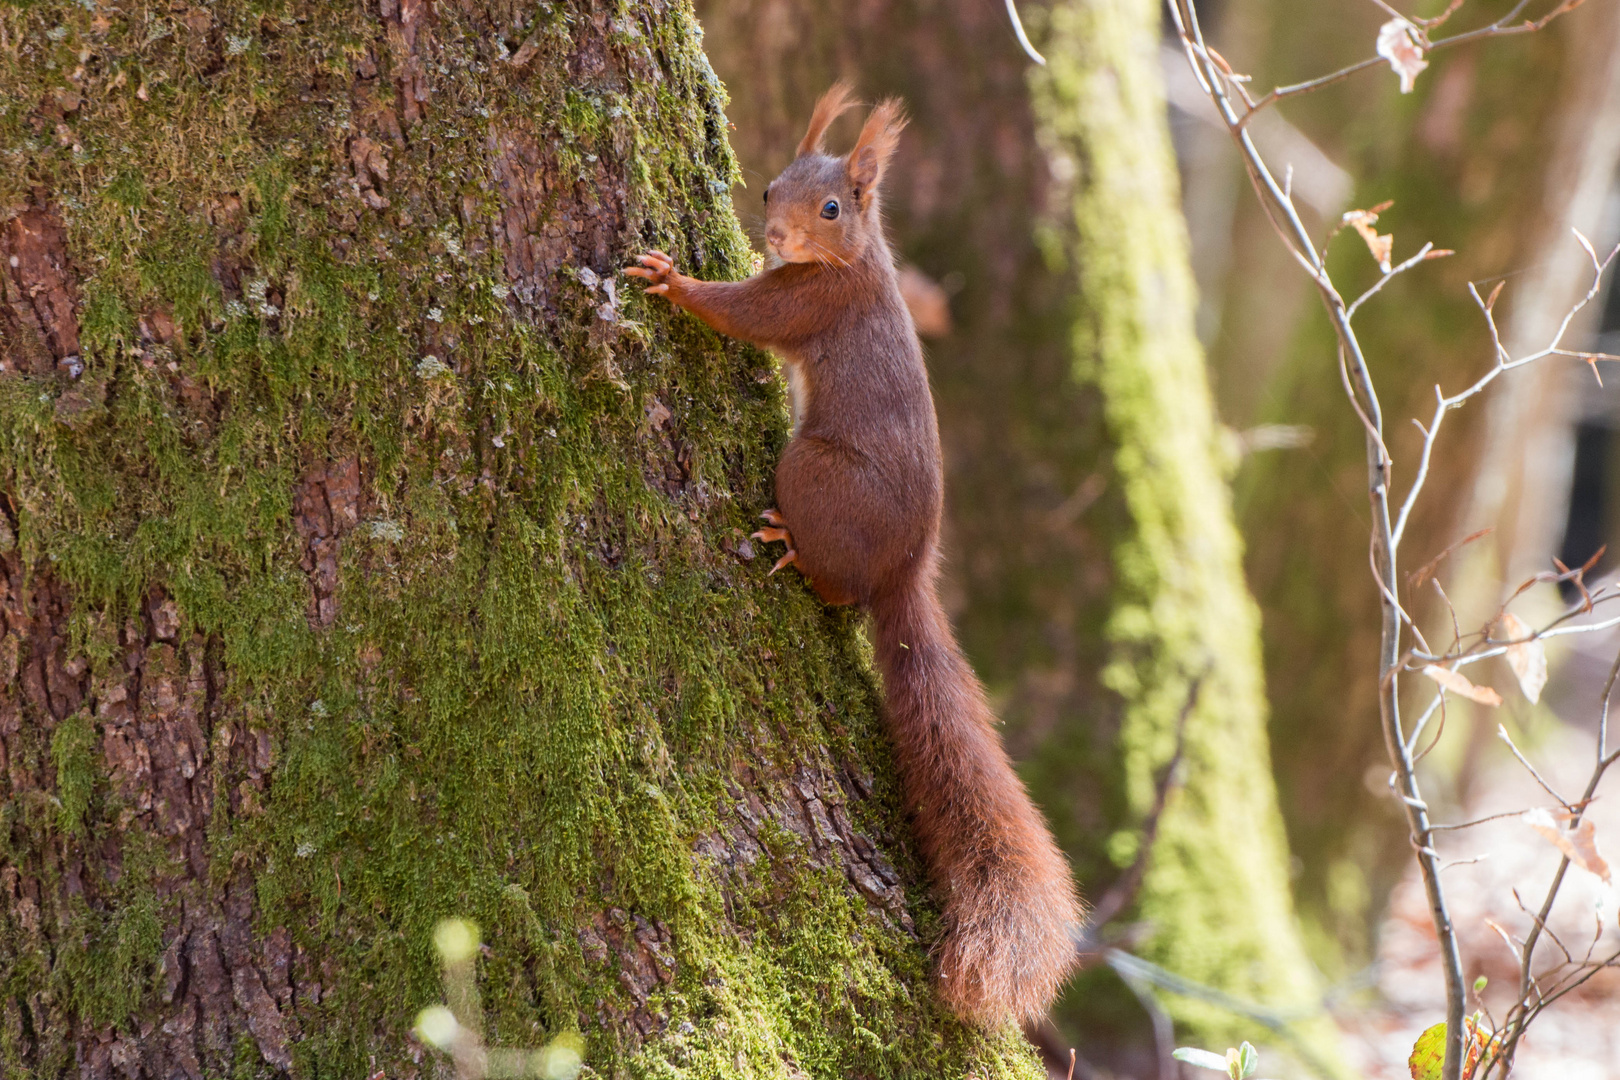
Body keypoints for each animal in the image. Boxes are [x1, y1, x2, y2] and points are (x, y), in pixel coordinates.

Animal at [625, 86, 1082, 1029]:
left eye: (833, 207)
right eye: (769, 187)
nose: (775, 235)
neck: (855, 261)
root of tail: (907, 572)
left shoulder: (810, 303)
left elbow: (742, 313)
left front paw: (672, 281)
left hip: (812, 471)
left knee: (838, 591)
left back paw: (795, 552)